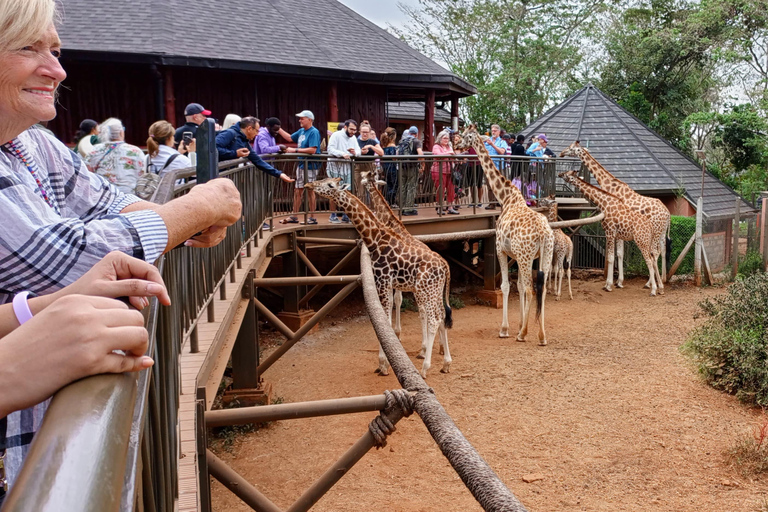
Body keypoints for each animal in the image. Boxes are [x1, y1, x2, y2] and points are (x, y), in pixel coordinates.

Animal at [304, 178, 452, 378]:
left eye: (330, 185)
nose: (308, 185)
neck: (374, 238)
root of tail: (445, 266)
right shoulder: (388, 283)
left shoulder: (382, 281)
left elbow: (385, 320)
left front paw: (383, 364)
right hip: (434, 291)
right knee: (442, 316)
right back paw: (446, 363)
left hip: (424, 290)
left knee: (432, 319)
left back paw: (424, 367)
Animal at [452, 126, 556, 346]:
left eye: (465, 136)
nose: (457, 145)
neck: (506, 198)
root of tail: (544, 233)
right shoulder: (515, 255)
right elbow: (518, 285)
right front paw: (519, 325)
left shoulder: (501, 250)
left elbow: (507, 286)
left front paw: (506, 329)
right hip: (544, 255)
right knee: (540, 290)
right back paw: (542, 336)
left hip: (527, 257)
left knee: (531, 289)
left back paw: (523, 335)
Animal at [560, 140, 672, 286]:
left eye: (571, 148)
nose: (561, 153)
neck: (609, 185)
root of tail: (668, 214)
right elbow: (620, 253)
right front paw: (618, 281)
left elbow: (617, 254)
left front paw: (615, 282)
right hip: (661, 232)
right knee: (662, 250)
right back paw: (662, 280)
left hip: (655, 231)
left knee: (654, 252)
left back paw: (650, 283)